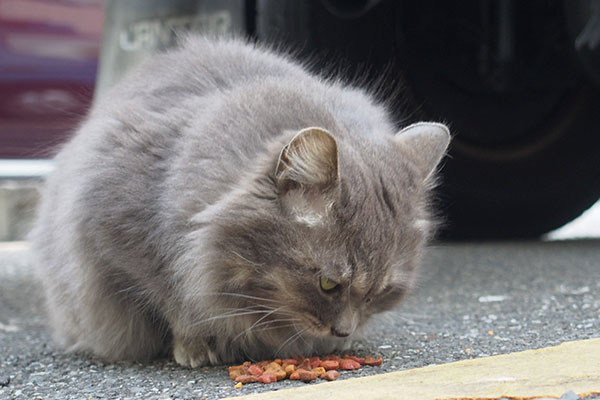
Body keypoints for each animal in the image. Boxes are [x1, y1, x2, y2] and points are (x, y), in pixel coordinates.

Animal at [30, 36, 448, 368]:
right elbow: (170, 296)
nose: (343, 332)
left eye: (382, 292)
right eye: (329, 284)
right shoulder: (115, 234)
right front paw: (196, 344)